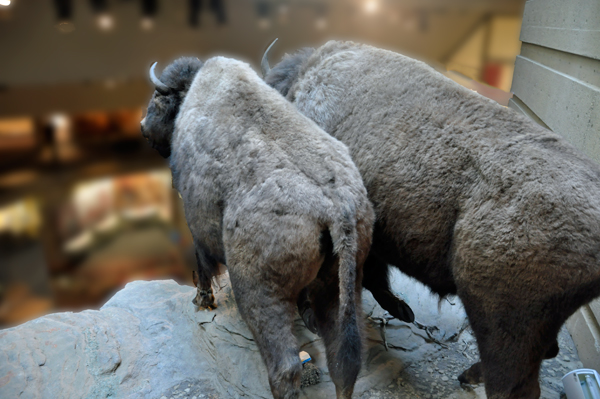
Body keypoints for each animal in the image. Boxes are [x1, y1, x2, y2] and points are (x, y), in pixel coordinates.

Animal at [142, 56, 376, 399]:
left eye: (158, 99)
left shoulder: (195, 220)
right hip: (340, 286)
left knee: (286, 366)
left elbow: (201, 262)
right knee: (344, 363)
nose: (142, 127)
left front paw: (202, 300)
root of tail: (338, 207)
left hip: (259, 292)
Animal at [264, 40, 600, 399]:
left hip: (500, 321)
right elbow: (376, 276)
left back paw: (467, 376)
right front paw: (402, 309)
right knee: (548, 351)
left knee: (515, 382)